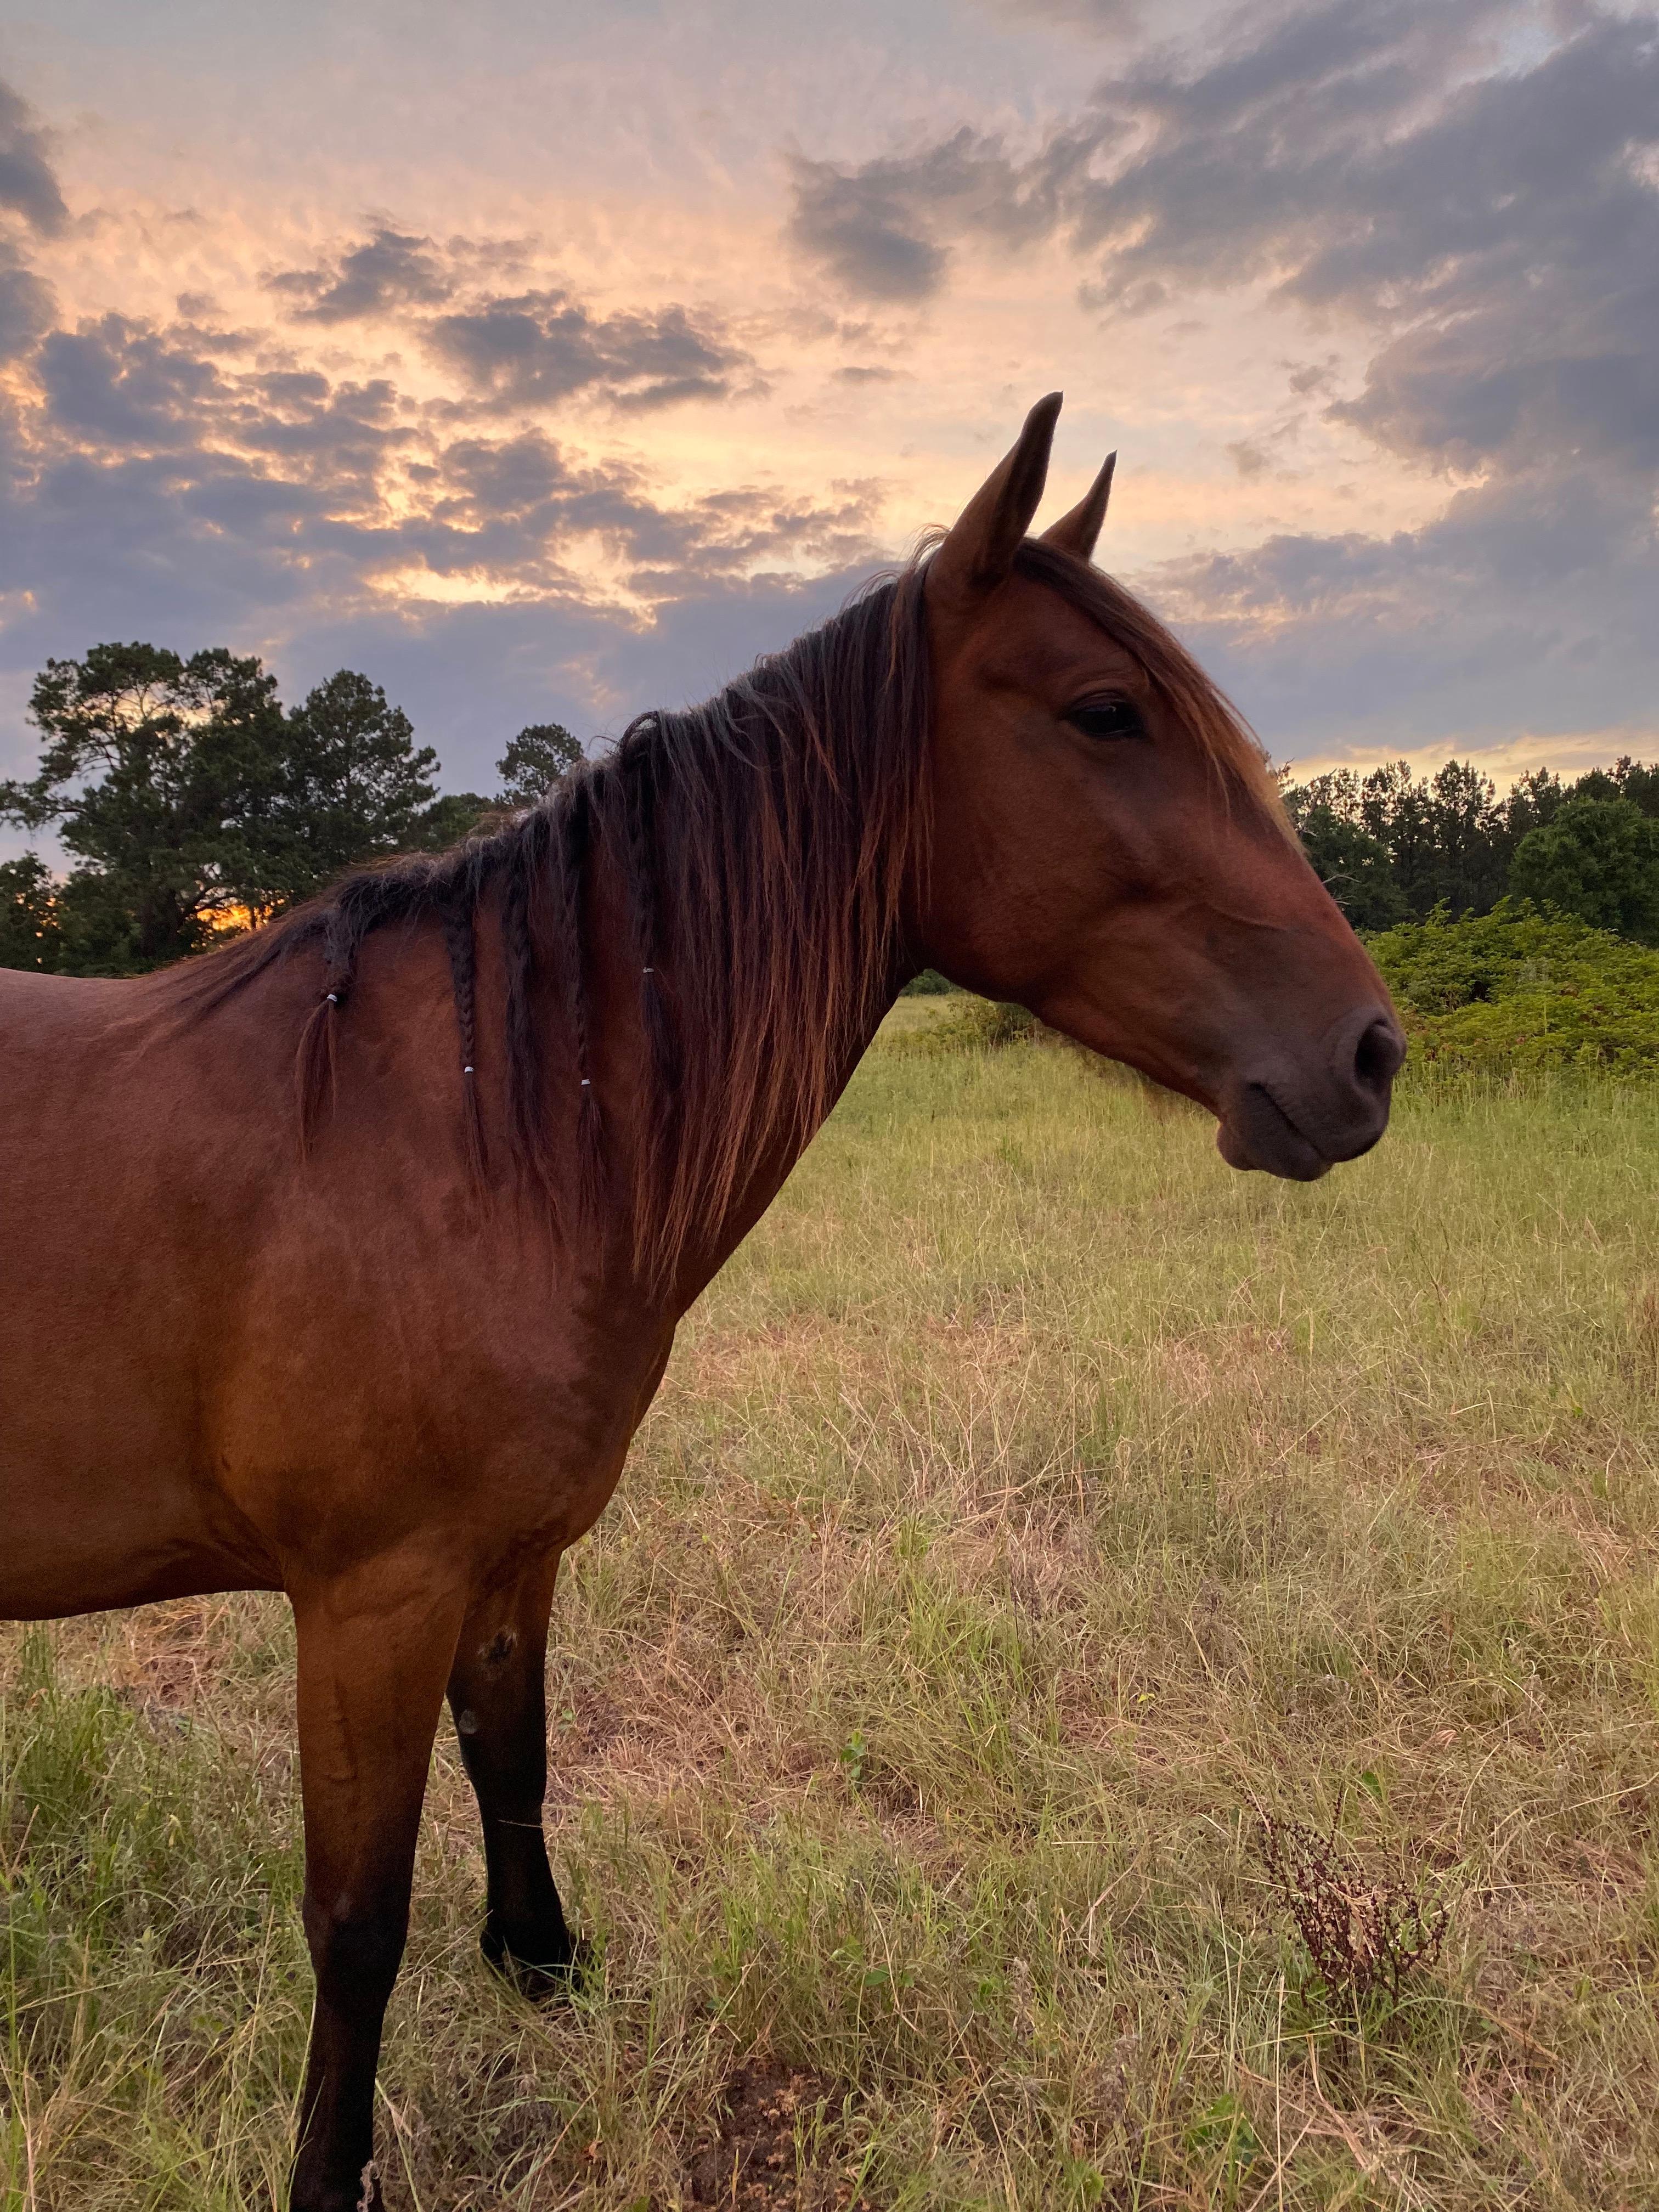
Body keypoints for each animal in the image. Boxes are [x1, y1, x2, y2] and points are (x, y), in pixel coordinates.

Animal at [0, 402, 1407, 2212]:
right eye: (1108, 712)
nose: (1369, 1055)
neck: (463, 1128)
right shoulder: (372, 1598)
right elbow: (357, 1919)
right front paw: (331, 2171)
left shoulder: (508, 1561)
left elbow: (516, 1765)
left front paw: (547, 1975)